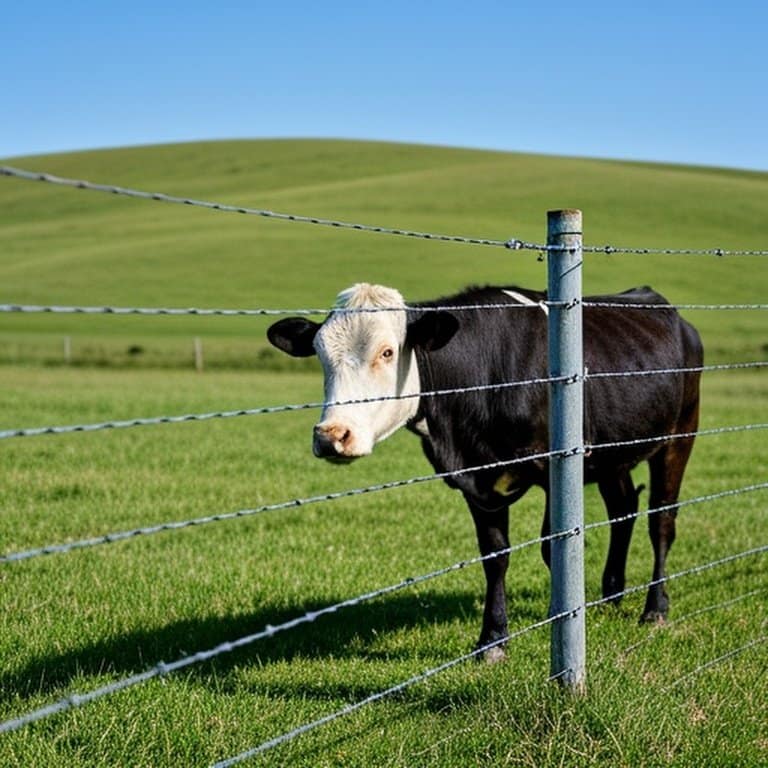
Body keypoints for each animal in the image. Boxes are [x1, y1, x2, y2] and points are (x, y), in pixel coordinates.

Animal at [267, 283, 703, 660]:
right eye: (321, 355)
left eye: (387, 352)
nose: (332, 435)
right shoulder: (477, 482)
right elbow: (494, 556)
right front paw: (492, 640)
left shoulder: (554, 467)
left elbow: (552, 547)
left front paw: (558, 617)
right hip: (614, 454)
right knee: (623, 509)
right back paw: (612, 594)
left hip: (680, 436)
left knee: (661, 521)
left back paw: (655, 608)